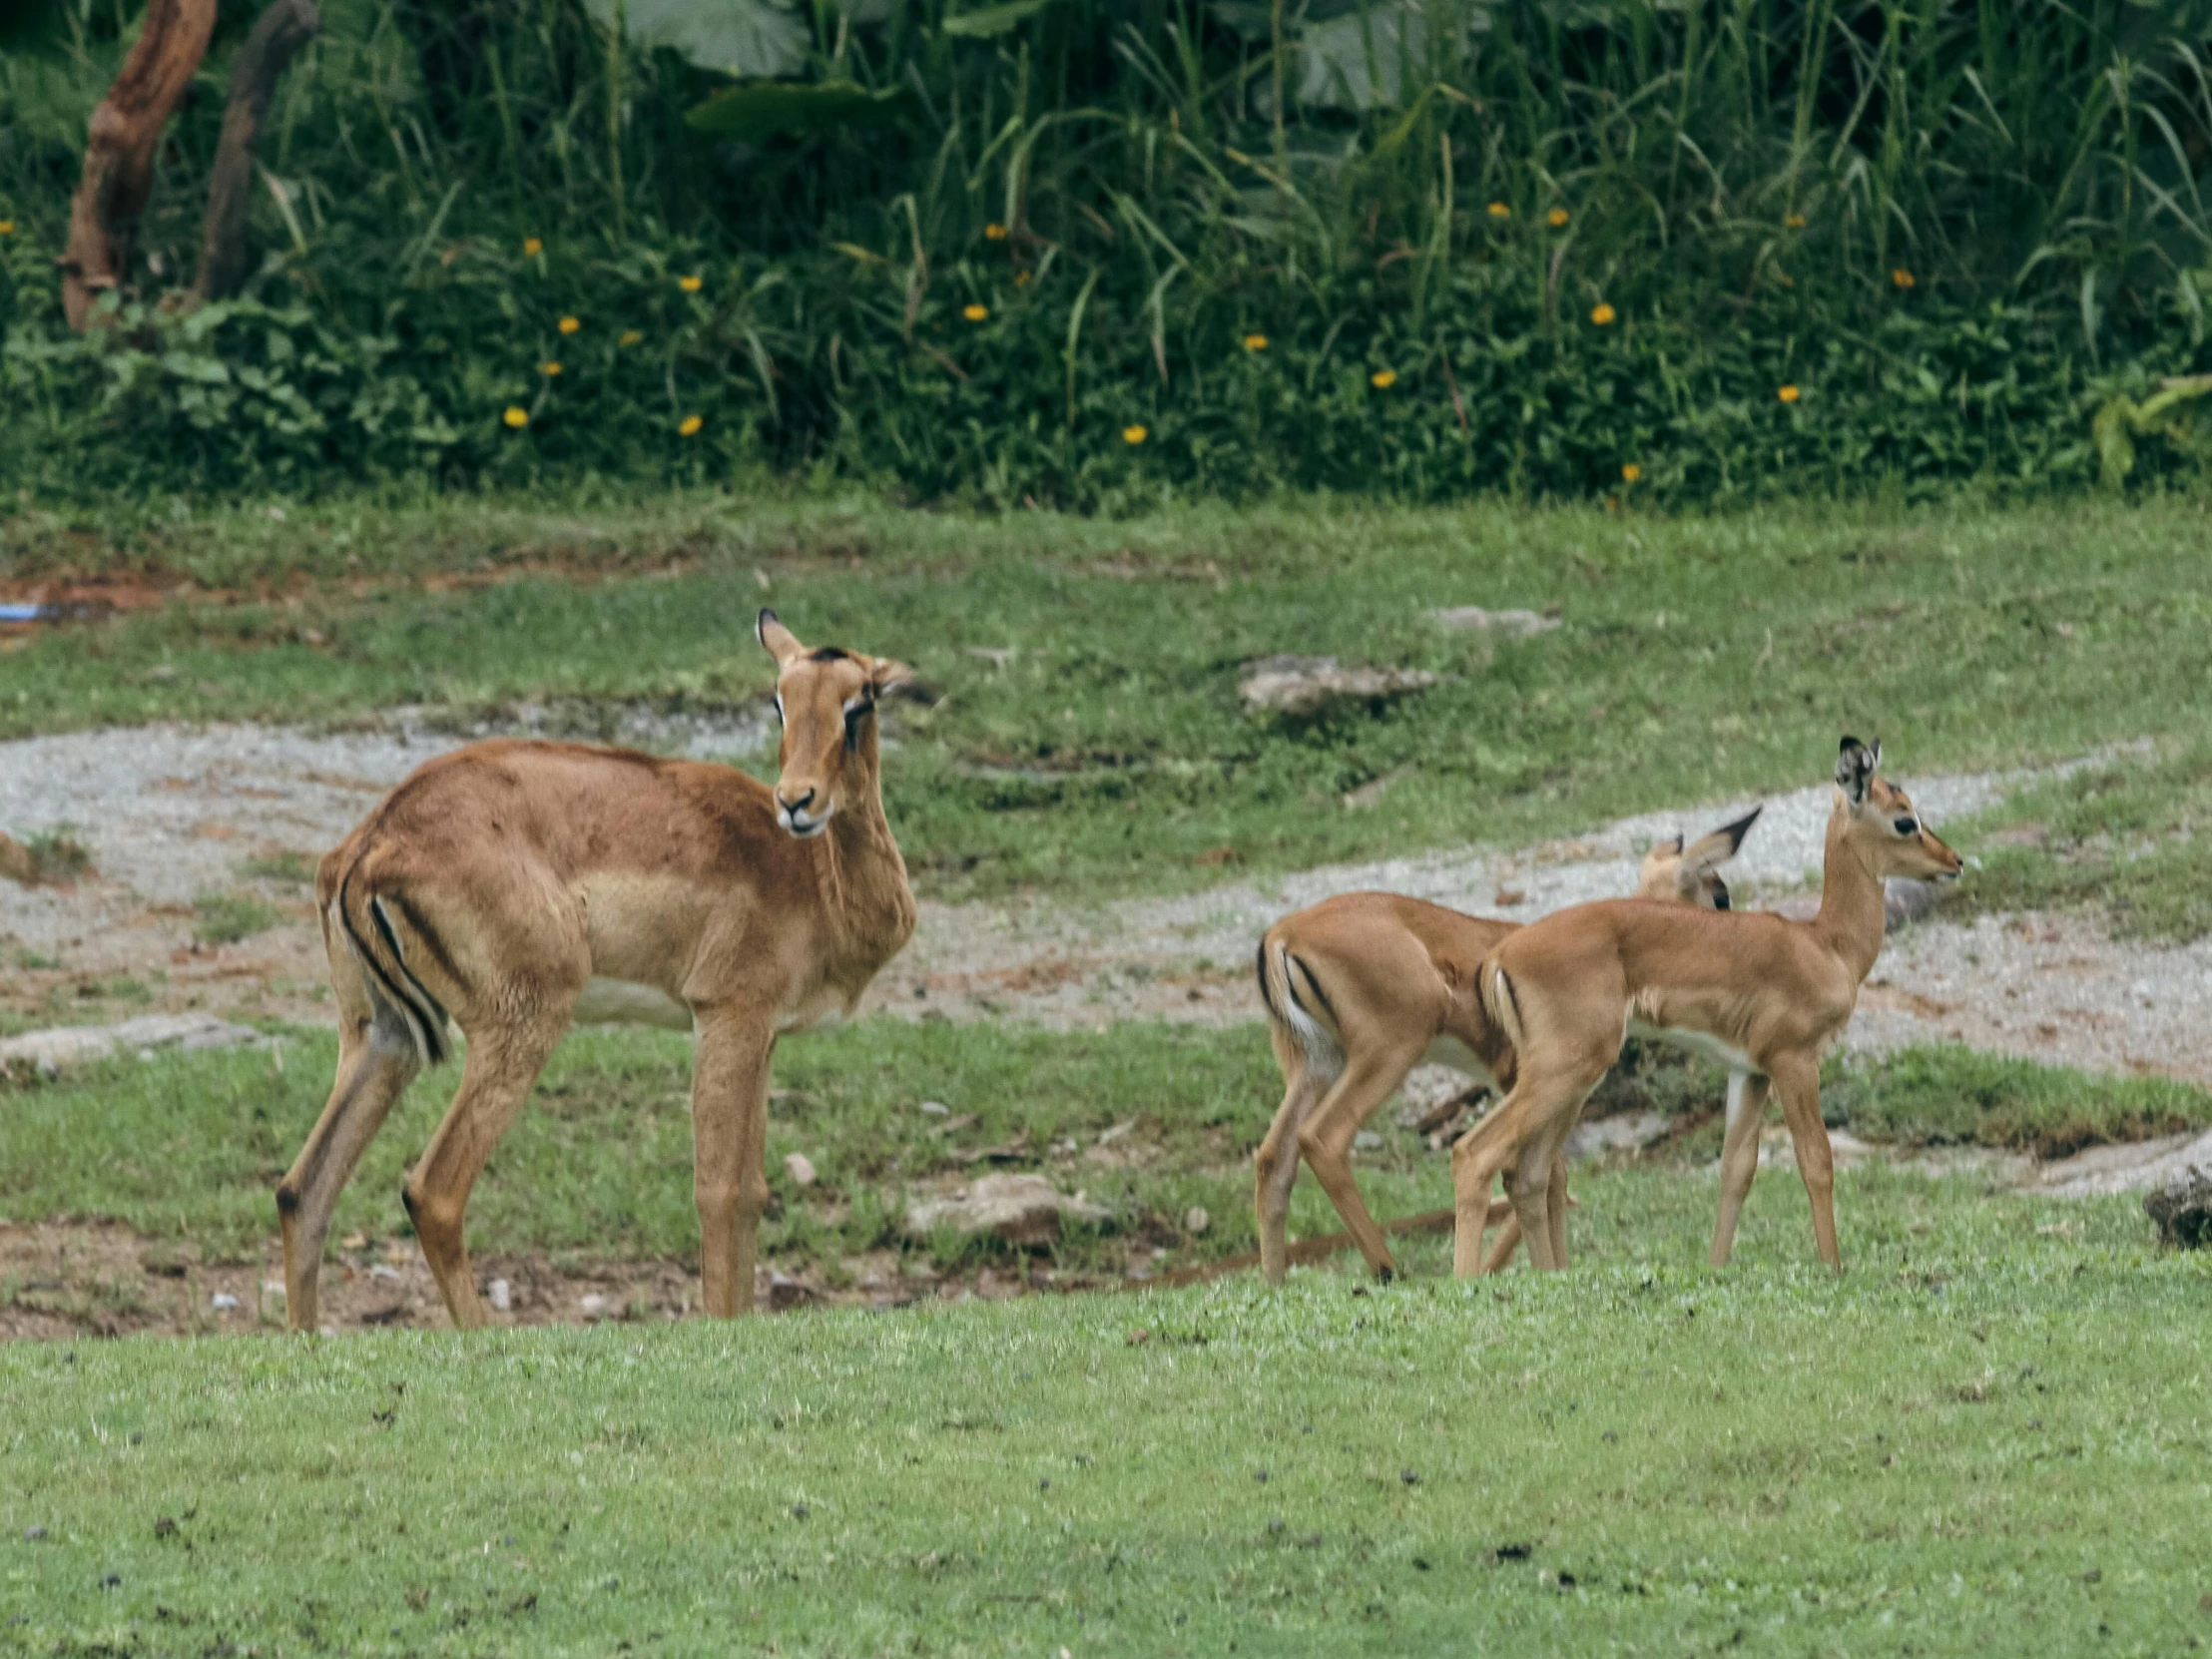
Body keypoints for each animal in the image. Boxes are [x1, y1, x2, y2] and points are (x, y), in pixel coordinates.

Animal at [276, 619, 915, 1336]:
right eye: (780, 700)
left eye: (859, 703)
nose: (797, 800)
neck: (811, 878)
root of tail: (369, 843)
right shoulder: (728, 1017)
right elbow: (720, 1192)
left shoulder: (764, 1035)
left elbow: (752, 1191)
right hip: (522, 1026)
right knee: (431, 1192)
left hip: (383, 1038)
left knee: (302, 1192)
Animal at [1256, 805, 1752, 1283]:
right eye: (1719, 893)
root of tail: (1283, 934)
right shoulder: (1544, 1088)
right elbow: (1546, 1175)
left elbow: (1544, 1175)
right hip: (1389, 1053)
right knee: (1323, 1137)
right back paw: (1388, 1270)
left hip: (1318, 1064)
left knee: (1273, 1157)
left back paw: (1276, 1283)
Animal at [1459, 748, 1963, 1283]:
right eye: (1904, 818)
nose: (1954, 861)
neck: (1826, 945)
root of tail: (1500, 955)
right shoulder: (1794, 1060)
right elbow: (1816, 1161)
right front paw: (1833, 1266)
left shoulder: (1749, 1072)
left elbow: (1736, 1169)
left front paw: (1716, 1267)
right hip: (1566, 1070)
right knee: (1475, 1153)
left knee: (1527, 1173)